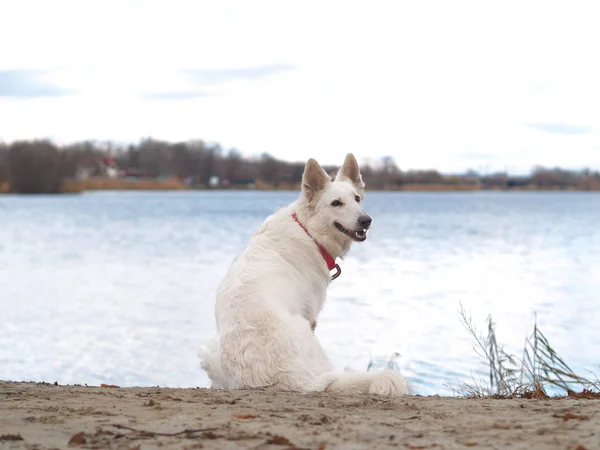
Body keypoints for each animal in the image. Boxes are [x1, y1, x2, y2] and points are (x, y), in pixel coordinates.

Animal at [199, 155, 410, 398]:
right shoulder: (311, 315)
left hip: (209, 352)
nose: (366, 220)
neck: (308, 231)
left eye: (357, 199)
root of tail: (297, 380)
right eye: (336, 203)